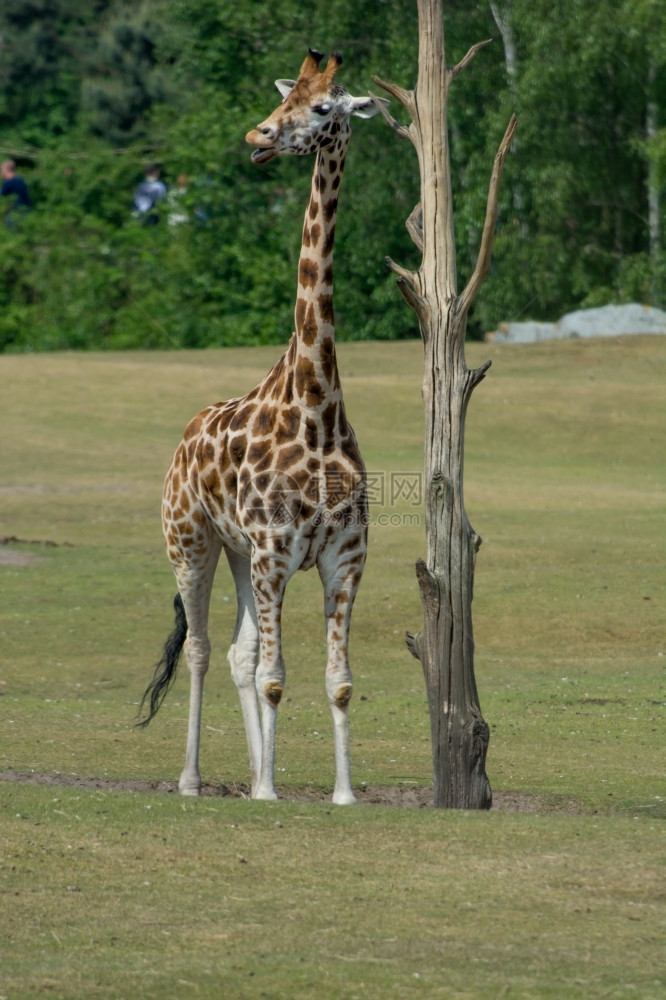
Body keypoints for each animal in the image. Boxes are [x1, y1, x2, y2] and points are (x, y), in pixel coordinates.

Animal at [136, 52, 384, 804]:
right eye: (287, 97)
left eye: (324, 108)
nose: (259, 136)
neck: (316, 404)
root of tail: (185, 438)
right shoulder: (277, 552)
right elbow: (277, 679)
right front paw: (272, 792)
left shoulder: (343, 557)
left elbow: (337, 683)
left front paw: (340, 794)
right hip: (191, 543)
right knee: (201, 648)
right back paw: (193, 780)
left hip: (240, 555)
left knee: (239, 652)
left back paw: (251, 774)